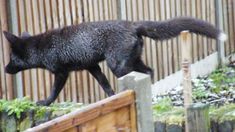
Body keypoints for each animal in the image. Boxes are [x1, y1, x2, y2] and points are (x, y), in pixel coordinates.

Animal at [3, 17, 227, 105]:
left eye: (12, 59)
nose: (5, 69)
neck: (42, 47)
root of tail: (132, 24)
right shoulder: (92, 66)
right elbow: (105, 85)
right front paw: (112, 98)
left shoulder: (61, 72)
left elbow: (54, 92)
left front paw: (45, 102)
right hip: (130, 62)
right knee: (149, 72)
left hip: (118, 66)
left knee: (143, 74)